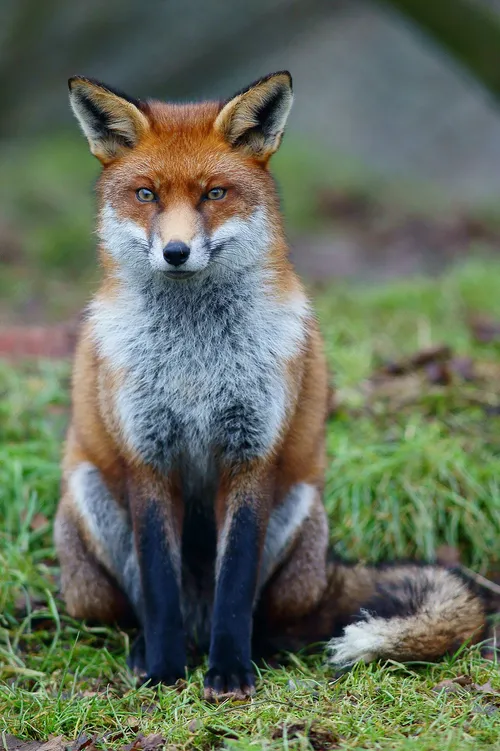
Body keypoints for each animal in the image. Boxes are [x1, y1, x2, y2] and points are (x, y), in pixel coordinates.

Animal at [55, 71, 491, 701]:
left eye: (214, 194)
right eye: (146, 195)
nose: (176, 252)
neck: (196, 357)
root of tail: (329, 567)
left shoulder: (251, 452)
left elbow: (236, 584)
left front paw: (230, 671)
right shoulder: (147, 455)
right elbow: (158, 588)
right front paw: (164, 671)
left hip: (299, 512)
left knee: (273, 620)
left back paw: (254, 651)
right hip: (88, 521)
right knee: (138, 607)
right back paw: (148, 651)